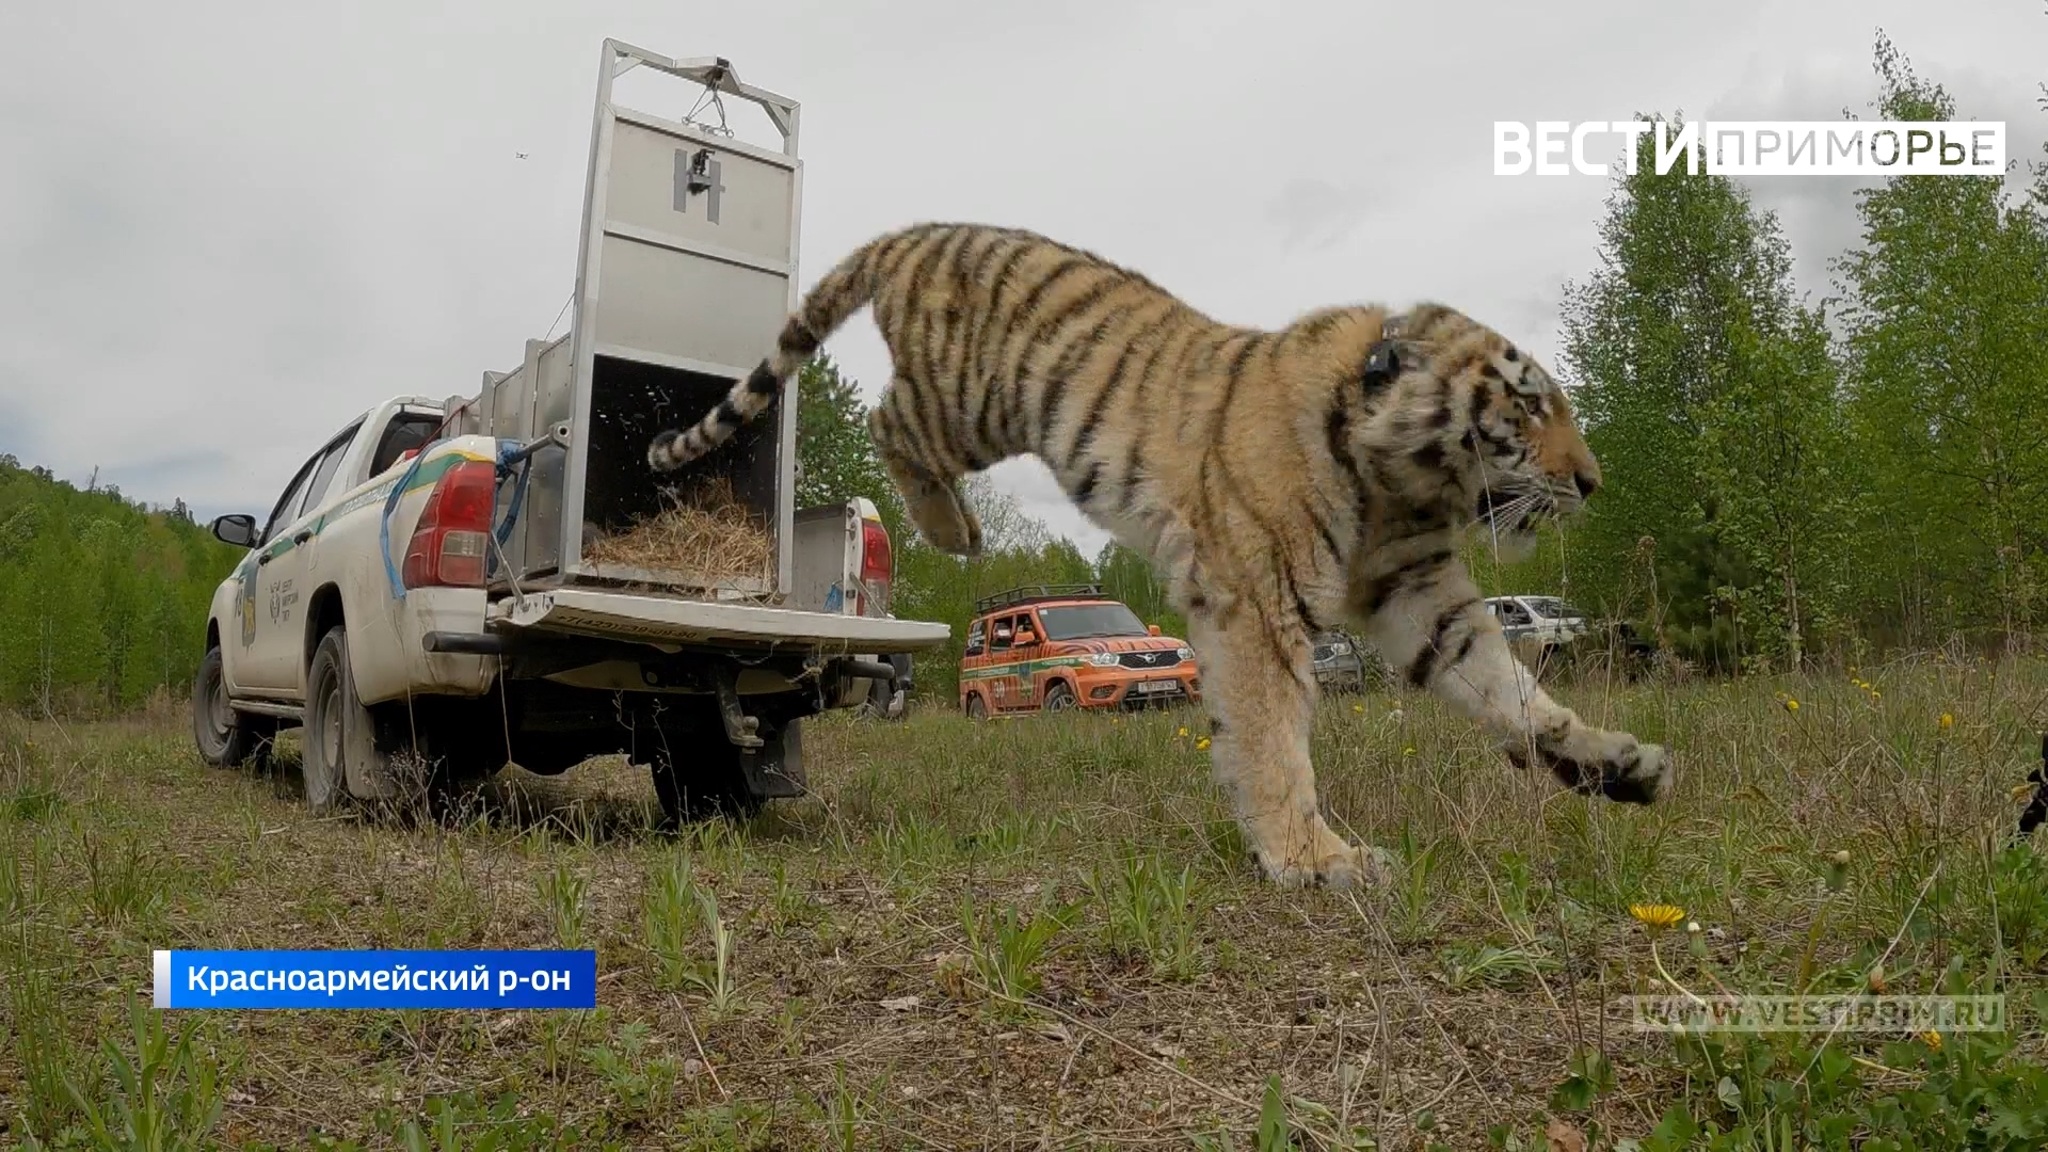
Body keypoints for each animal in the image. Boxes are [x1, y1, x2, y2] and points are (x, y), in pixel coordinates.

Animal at [647, 222, 1674, 889]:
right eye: (1528, 406)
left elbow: (1512, 688)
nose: (1595, 483)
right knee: (883, 414)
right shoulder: (1259, 599)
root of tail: (918, 229)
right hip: (971, 397)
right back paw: (954, 531)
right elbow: (1272, 736)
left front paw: (1615, 764)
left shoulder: (1423, 592)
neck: (1397, 475)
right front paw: (1315, 860)